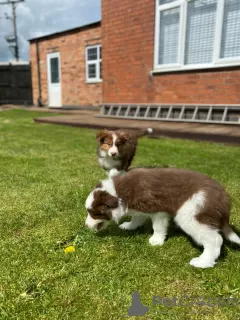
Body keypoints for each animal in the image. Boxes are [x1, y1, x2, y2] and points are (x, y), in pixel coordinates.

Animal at [85, 168, 240, 268]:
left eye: (93, 213)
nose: (86, 225)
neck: (118, 193)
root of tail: (224, 200)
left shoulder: (158, 210)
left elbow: (158, 227)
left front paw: (156, 240)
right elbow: (137, 217)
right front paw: (129, 226)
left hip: (191, 214)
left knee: (215, 239)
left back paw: (203, 262)